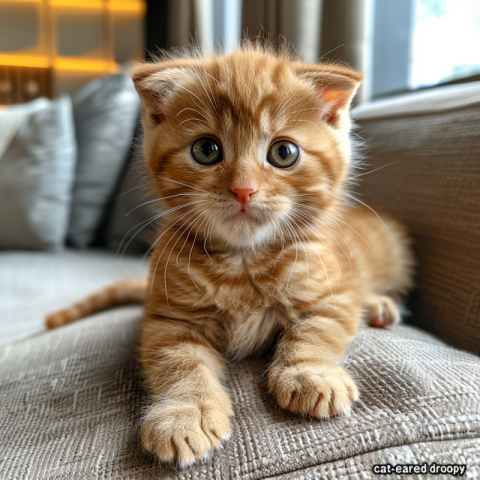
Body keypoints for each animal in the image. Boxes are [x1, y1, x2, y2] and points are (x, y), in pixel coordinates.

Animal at [46, 44, 412, 464]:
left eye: (284, 152)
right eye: (206, 150)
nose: (243, 189)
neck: (243, 261)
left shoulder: (331, 291)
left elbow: (316, 331)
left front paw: (310, 373)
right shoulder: (169, 318)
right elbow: (180, 365)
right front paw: (186, 414)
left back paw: (377, 305)